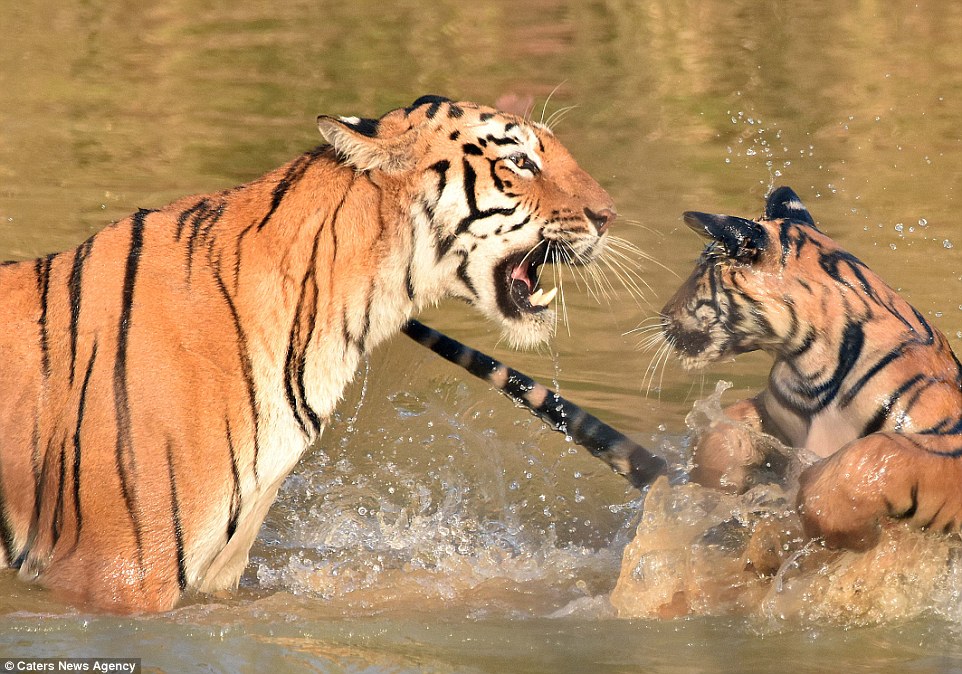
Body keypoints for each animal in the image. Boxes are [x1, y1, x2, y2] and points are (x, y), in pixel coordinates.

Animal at [664, 188, 960, 552]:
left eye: (701, 271)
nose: (664, 316)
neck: (810, 368)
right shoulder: (777, 414)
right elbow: (725, 428)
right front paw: (712, 486)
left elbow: (873, 453)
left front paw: (854, 536)